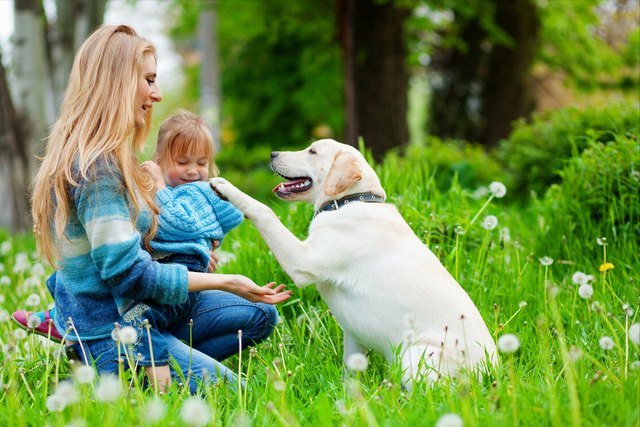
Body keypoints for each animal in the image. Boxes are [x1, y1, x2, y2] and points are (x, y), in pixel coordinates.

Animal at [210, 139, 496, 386]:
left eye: (312, 151)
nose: (272, 154)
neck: (349, 202)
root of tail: (491, 373)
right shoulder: (353, 335)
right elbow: (351, 372)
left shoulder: (303, 261)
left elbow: (264, 210)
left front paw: (225, 187)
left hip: (415, 354)